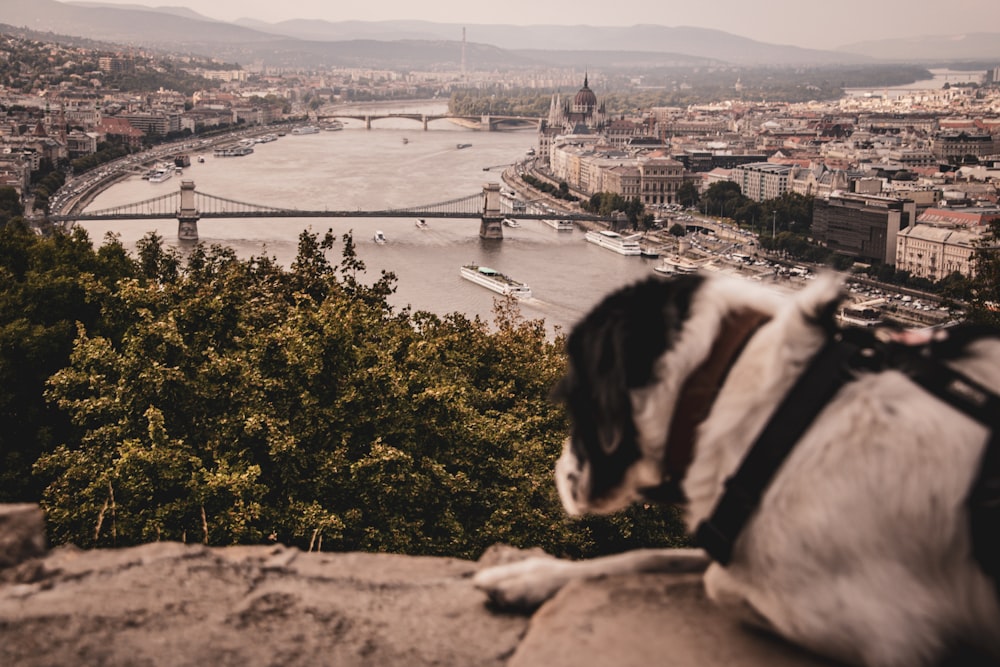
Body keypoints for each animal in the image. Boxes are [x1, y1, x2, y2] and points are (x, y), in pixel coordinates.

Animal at [474, 272, 1000, 667]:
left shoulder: (886, 630)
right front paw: (531, 576)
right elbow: (645, 556)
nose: (557, 468)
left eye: (568, 396)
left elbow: (717, 581)